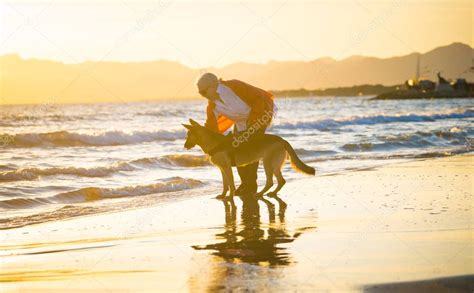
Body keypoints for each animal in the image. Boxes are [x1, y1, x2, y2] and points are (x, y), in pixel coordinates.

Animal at [182, 118, 314, 198]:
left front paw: (230, 197)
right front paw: (223, 195)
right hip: (274, 165)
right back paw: (270, 193)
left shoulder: (227, 168)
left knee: (270, 181)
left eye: (188, 135)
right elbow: (225, 185)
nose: (184, 146)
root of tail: (282, 140)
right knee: (281, 181)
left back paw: (259, 193)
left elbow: (231, 184)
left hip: (267, 164)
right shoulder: (222, 169)